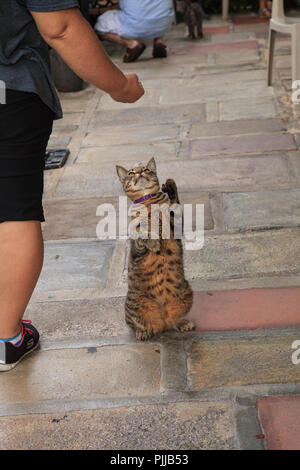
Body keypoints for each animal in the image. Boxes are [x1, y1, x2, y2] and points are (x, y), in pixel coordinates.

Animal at [115, 158, 195, 342]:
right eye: (131, 172)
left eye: (146, 169)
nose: (139, 172)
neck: (149, 204)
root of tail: (162, 320)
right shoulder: (135, 242)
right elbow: (142, 233)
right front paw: (153, 243)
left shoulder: (176, 226)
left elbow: (175, 206)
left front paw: (171, 187)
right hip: (135, 305)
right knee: (135, 324)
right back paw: (143, 332)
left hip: (186, 293)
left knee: (173, 321)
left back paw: (182, 323)